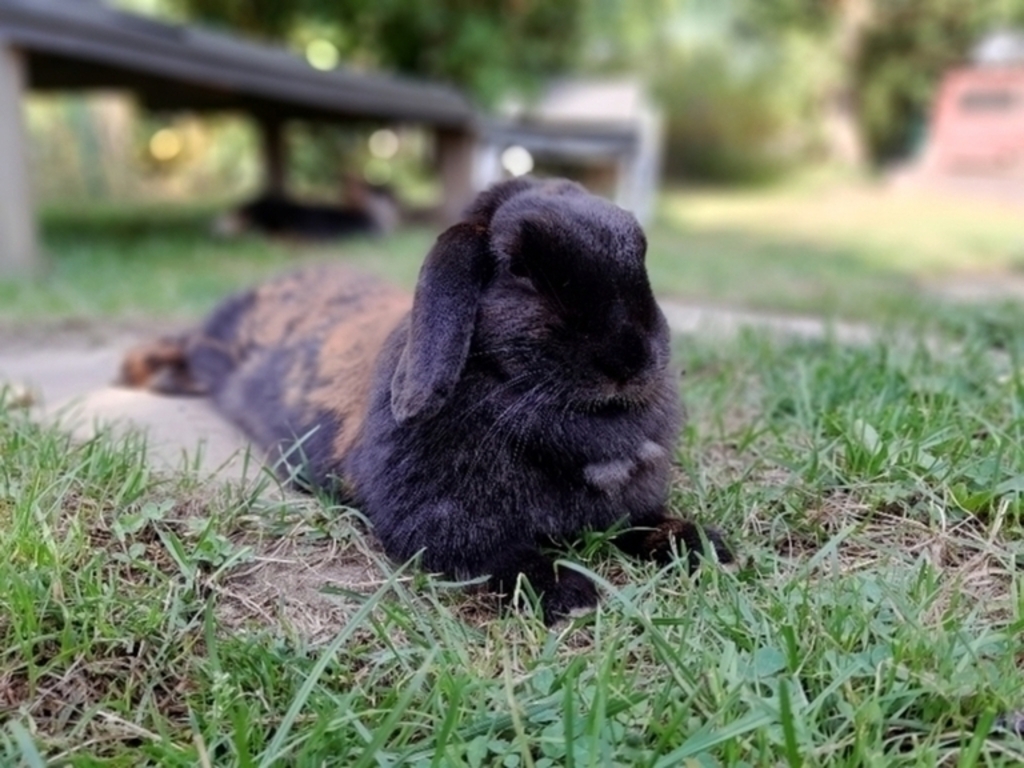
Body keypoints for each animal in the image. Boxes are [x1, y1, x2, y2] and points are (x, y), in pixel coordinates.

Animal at [121, 177, 732, 624]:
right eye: (520, 270)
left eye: (641, 258)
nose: (631, 360)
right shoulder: (442, 524)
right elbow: (500, 556)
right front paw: (569, 593)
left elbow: (647, 524)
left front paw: (703, 547)